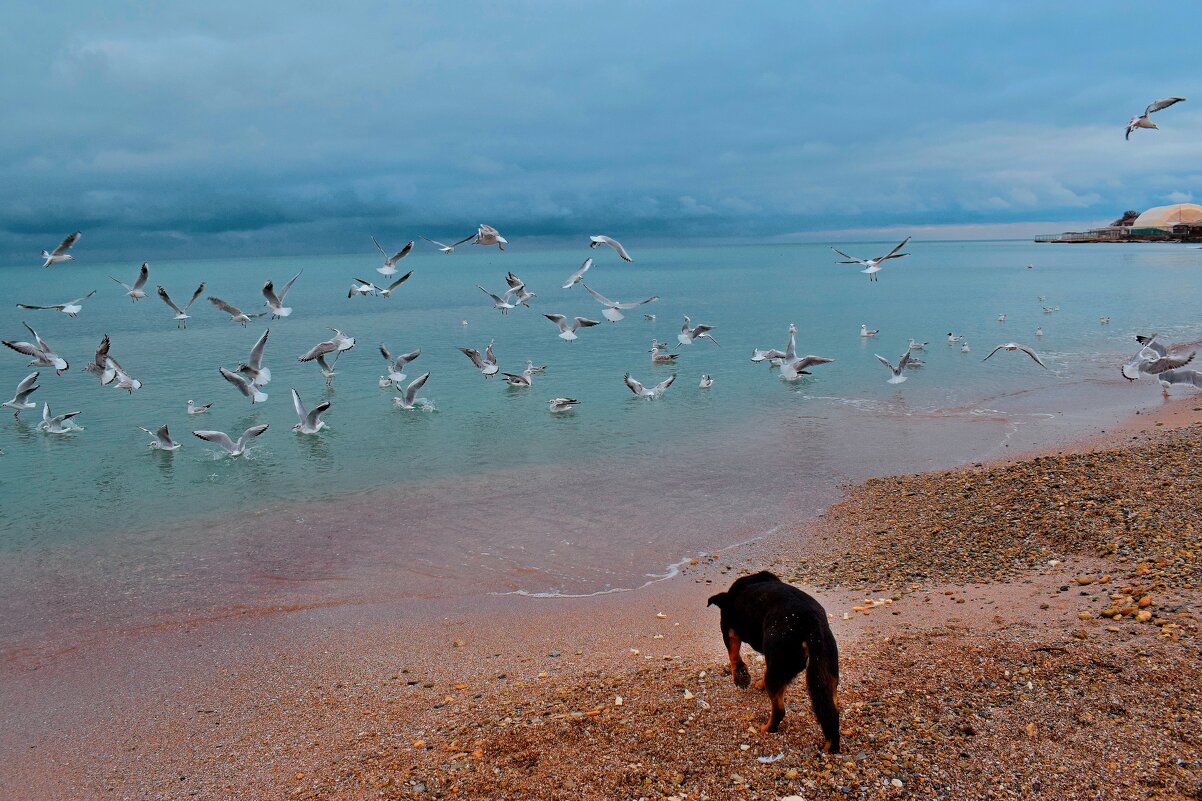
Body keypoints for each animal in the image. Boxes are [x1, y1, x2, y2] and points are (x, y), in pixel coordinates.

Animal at [706, 567, 841, 750]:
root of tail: (811, 625)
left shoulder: (729, 630)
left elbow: (733, 655)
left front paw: (741, 677)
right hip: (826, 671)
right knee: (831, 711)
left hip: (778, 668)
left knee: (779, 710)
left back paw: (766, 729)